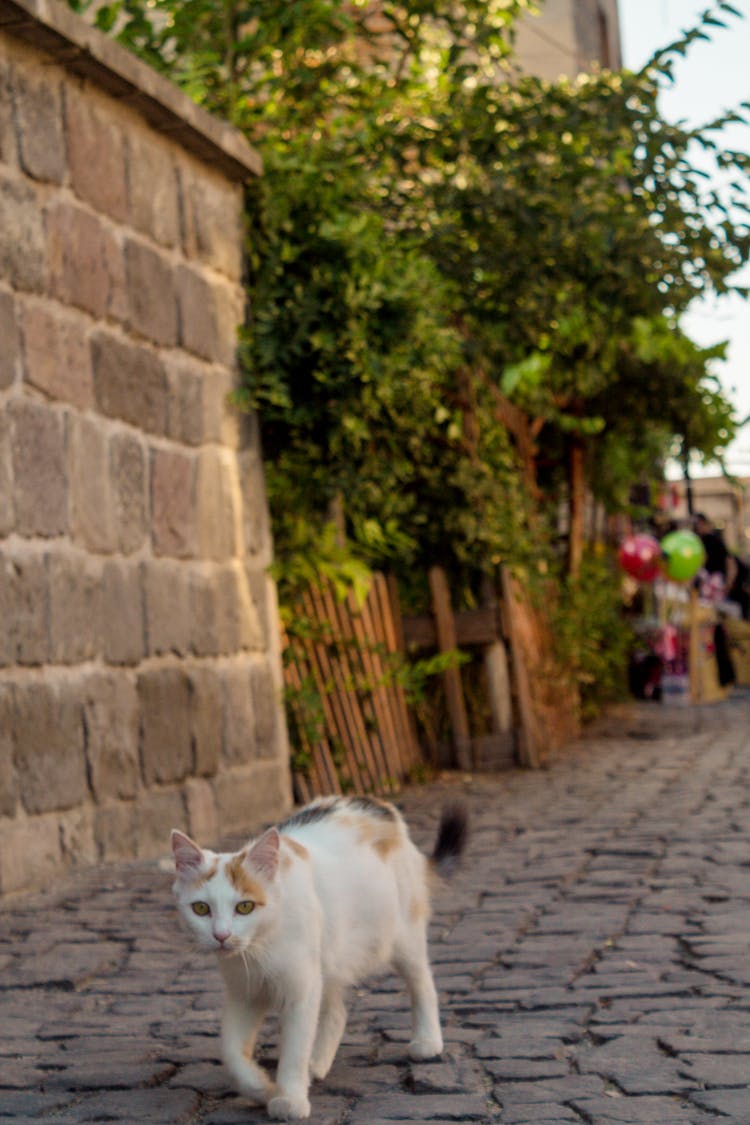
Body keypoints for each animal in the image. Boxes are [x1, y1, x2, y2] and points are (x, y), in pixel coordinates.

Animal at [172, 796, 465, 1120]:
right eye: (201, 909)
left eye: (245, 907)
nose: (221, 935)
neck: (260, 947)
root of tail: (380, 806)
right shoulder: (245, 993)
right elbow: (231, 1053)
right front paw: (263, 1089)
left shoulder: (301, 990)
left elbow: (294, 1050)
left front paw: (289, 1099)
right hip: (330, 960)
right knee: (337, 1012)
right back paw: (317, 1064)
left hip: (402, 937)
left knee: (423, 984)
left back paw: (427, 1041)